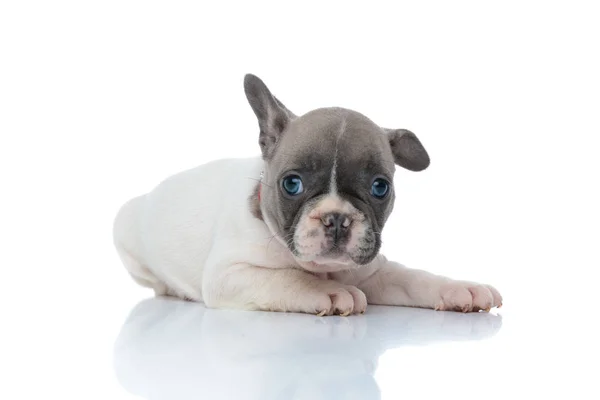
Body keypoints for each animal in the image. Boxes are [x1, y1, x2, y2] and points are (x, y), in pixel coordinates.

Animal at [112, 73, 502, 314]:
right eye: (292, 184)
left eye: (380, 187)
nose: (337, 219)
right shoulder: (229, 273)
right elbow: (286, 276)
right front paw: (324, 291)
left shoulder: (373, 273)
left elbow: (415, 278)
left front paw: (461, 288)